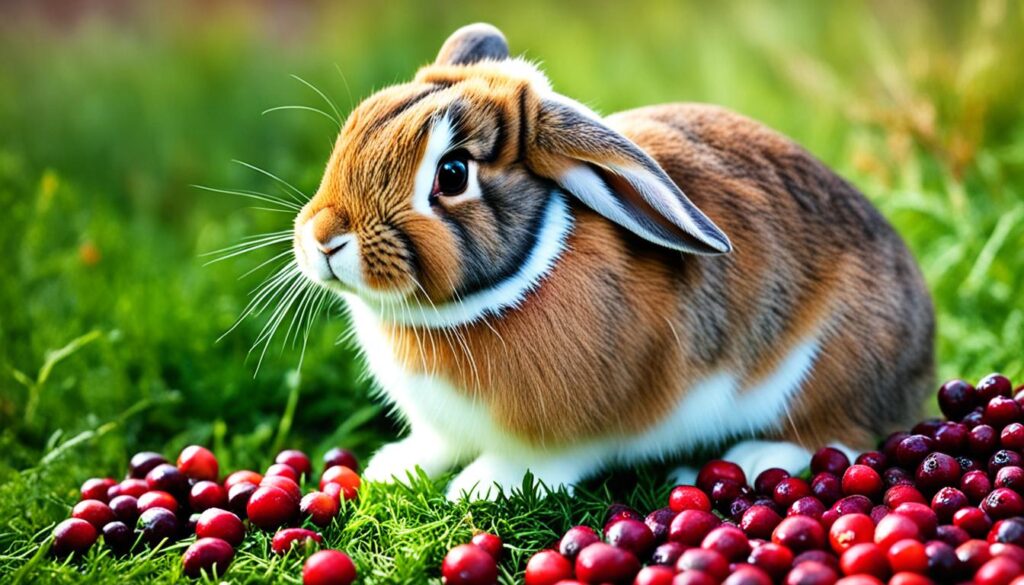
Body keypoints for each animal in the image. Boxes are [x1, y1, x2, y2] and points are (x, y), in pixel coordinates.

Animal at [292, 23, 935, 500]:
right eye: (360, 120)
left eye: (451, 175)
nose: (324, 237)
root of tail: (920, 362)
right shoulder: (439, 422)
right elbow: (434, 443)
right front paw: (391, 467)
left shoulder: (568, 433)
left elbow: (541, 462)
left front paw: (480, 487)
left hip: (833, 374)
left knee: (843, 435)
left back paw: (757, 457)